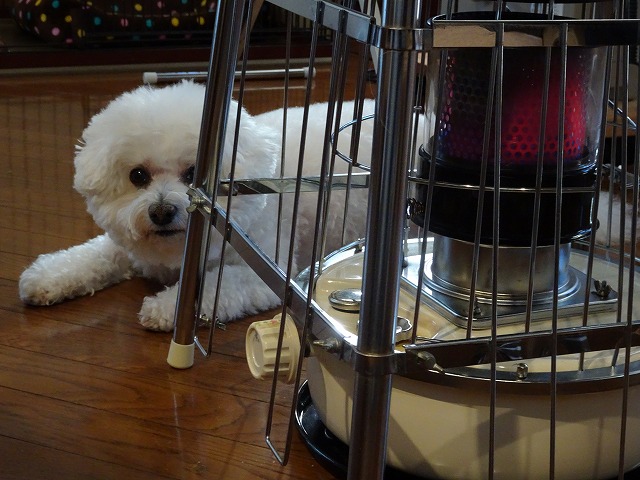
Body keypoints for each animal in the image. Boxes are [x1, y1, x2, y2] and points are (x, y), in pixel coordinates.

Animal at [19, 81, 374, 331]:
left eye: (192, 174)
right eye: (137, 176)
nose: (161, 212)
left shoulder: (261, 275)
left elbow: (211, 286)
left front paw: (166, 308)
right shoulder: (129, 247)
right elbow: (92, 256)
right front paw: (47, 277)